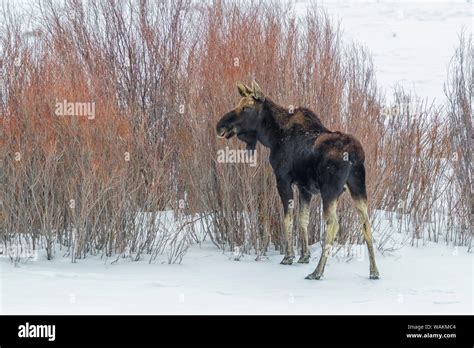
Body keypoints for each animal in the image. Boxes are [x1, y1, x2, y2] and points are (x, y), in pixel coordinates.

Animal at [217, 81, 380, 280]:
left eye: (246, 107)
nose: (220, 126)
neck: (271, 137)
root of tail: (355, 154)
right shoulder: (305, 187)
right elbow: (303, 219)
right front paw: (304, 256)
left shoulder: (283, 179)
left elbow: (287, 218)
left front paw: (288, 257)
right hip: (358, 185)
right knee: (366, 222)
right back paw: (374, 271)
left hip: (330, 189)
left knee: (333, 224)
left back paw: (317, 272)